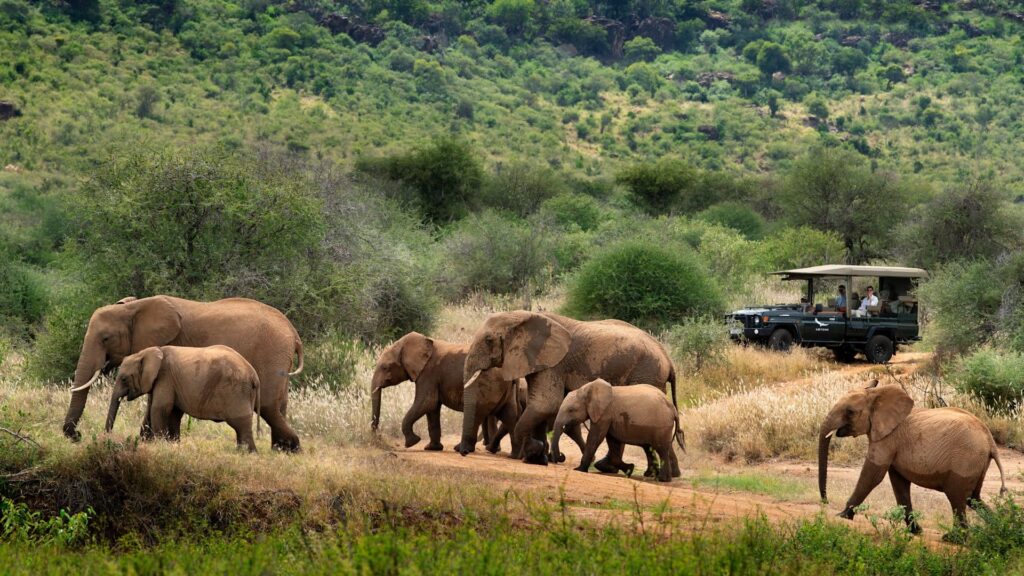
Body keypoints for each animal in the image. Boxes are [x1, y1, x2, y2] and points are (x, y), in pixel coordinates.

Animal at [105, 346, 261, 451]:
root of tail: (254, 375)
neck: (146, 353)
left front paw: (159, 444)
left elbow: (160, 408)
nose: (108, 436)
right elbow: (161, 411)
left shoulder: (165, 378)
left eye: (124, 379)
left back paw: (248, 453)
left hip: (237, 392)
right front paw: (169, 444)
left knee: (241, 423)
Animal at [370, 332, 525, 453]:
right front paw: (432, 448)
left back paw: (462, 449)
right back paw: (509, 453)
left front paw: (412, 442)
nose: (377, 436)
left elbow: (427, 403)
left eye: (385, 367)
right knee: (508, 414)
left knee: (478, 413)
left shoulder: (428, 374)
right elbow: (432, 409)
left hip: (487, 385)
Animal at [458, 311, 677, 466]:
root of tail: (668, 359)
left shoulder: (554, 363)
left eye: (488, 340)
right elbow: (543, 407)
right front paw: (539, 456)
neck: (522, 316)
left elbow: (545, 404)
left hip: (646, 372)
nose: (464, 451)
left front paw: (527, 452)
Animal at [551, 379, 685, 482]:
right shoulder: (610, 418)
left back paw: (663, 479)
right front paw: (630, 469)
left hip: (661, 426)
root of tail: (673, 409)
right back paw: (653, 475)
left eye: (571, 410)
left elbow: (595, 438)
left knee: (661, 448)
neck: (587, 389)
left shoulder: (604, 414)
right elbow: (613, 441)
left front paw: (579, 470)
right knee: (651, 449)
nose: (561, 456)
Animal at [819, 379, 1007, 534]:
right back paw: (996, 528)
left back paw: (954, 538)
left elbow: (872, 474)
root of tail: (991, 442)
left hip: (966, 459)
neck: (877, 395)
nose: (825, 502)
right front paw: (915, 531)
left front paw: (842, 516)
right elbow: (899, 483)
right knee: (972, 498)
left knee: (957, 497)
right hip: (976, 462)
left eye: (850, 412)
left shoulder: (888, 439)